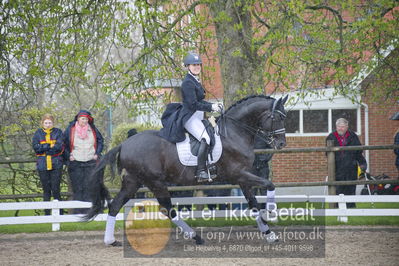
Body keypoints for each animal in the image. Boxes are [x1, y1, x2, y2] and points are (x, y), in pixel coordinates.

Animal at [86, 94, 290, 246]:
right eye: (278, 117)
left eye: (285, 116)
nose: (281, 144)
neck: (234, 133)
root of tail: (124, 144)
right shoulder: (238, 174)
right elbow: (269, 184)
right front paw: (272, 212)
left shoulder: (243, 178)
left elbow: (253, 203)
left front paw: (269, 233)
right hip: (155, 182)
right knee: (167, 209)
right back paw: (196, 237)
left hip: (133, 181)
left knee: (115, 205)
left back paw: (110, 241)